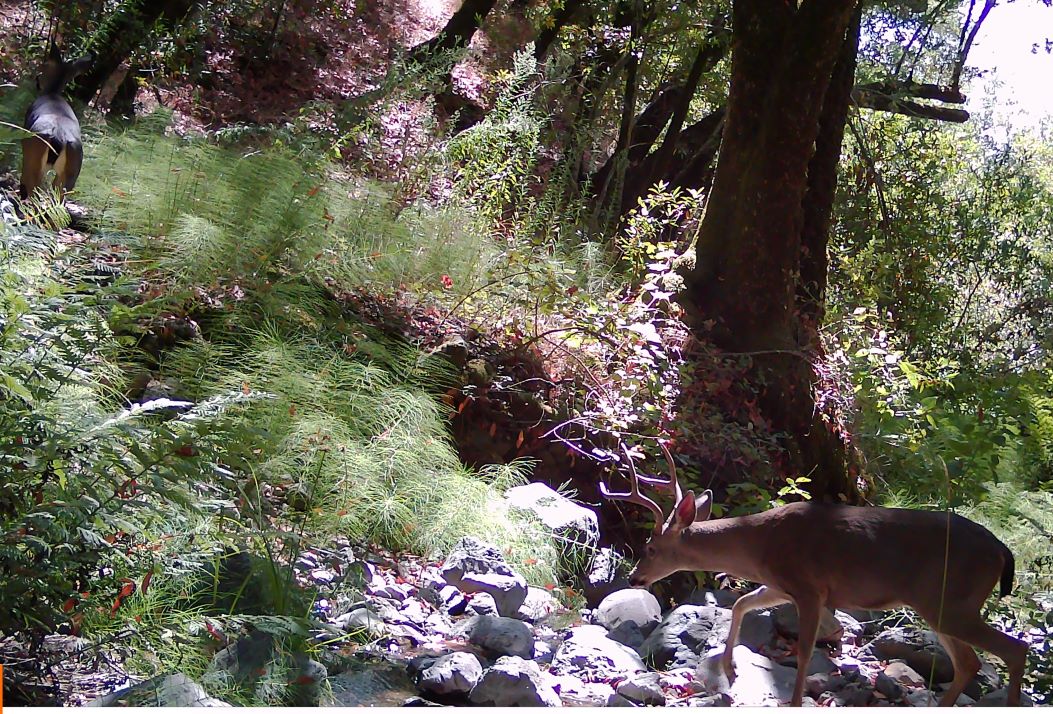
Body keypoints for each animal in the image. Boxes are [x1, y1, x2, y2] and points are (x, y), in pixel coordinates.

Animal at [20, 42, 93, 203]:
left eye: (45, 66)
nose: (37, 79)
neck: (52, 93)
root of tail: (60, 137)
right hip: (72, 171)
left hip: (33, 158)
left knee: (33, 192)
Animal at [601, 444, 1028, 707]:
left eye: (651, 549)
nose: (635, 578)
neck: (758, 546)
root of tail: (1002, 550)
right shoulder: (781, 584)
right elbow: (741, 603)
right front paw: (729, 667)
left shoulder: (809, 587)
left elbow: (805, 649)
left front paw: (792, 700)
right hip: (939, 604)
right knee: (969, 663)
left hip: (950, 600)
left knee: (1014, 649)